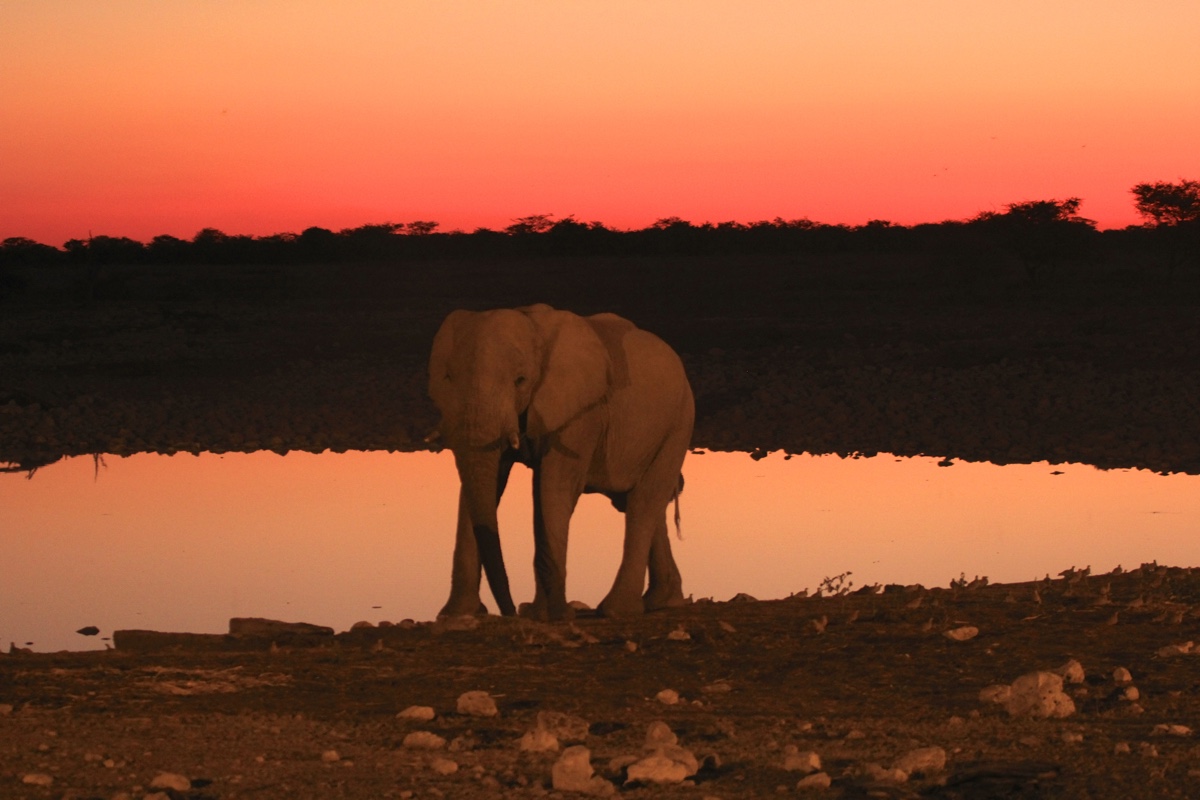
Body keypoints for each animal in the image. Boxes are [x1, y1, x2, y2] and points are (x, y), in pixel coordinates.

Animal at [429, 299, 696, 618]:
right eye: (448, 378)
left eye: (520, 381)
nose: (511, 612)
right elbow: (485, 485)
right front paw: (457, 615)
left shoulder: (579, 414)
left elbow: (554, 488)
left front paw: (548, 615)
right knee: (637, 501)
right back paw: (662, 602)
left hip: (679, 422)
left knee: (644, 501)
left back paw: (615, 610)